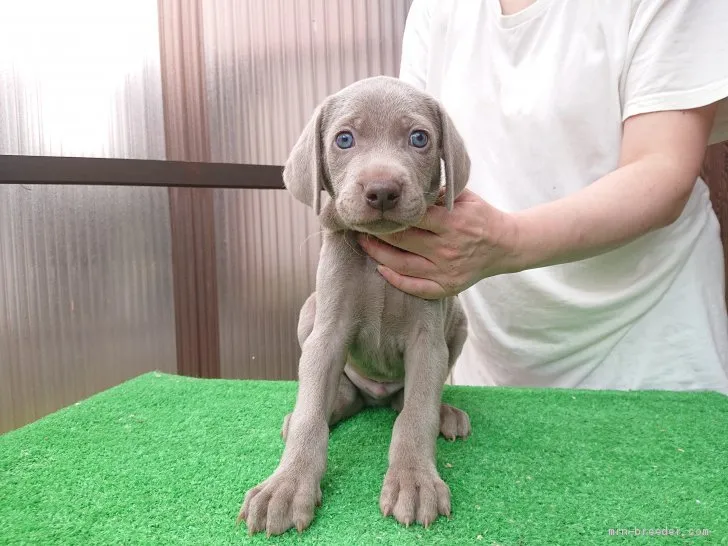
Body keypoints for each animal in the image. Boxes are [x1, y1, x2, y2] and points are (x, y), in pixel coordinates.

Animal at [239, 74, 472, 532]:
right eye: (344, 139)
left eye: (419, 138)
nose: (382, 190)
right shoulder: (327, 332)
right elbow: (311, 415)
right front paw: (286, 486)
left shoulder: (428, 339)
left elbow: (416, 414)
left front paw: (414, 481)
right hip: (309, 311)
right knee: (336, 399)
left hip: (457, 319)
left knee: (407, 403)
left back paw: (445, 413)